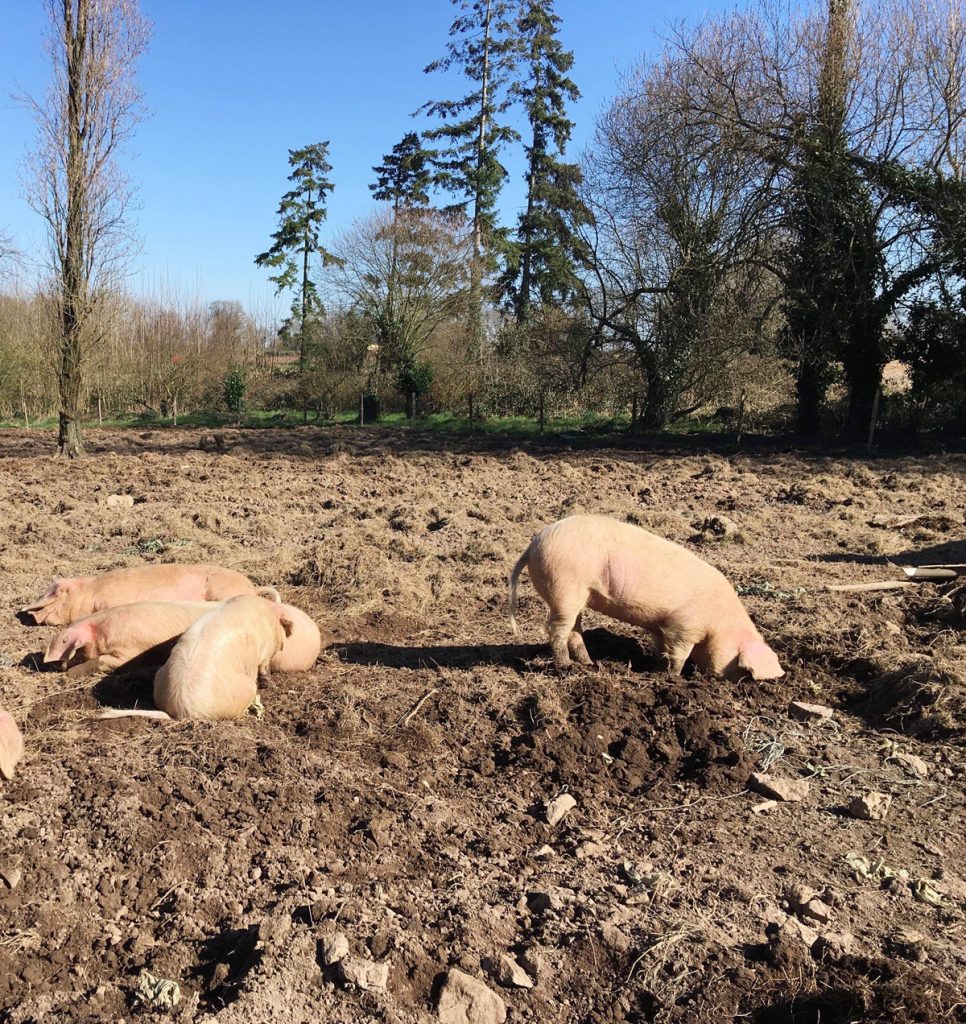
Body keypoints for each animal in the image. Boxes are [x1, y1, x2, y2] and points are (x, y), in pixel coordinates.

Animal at [98, 594, 291, 721]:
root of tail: (182, 711)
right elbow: (262, 667)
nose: (282, 645)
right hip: (246, 688)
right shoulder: (260, 654)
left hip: (160, 675)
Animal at [508, 515, 784, 681]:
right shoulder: (684, 627)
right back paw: (566, 667)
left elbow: (661, 648)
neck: (719, 623)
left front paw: (655, 668)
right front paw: (674, 678)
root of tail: (534, 544)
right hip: (564, 587)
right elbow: (679, 654)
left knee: (574, 630)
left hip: (576, 595)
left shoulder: (662, 626)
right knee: (556, 629)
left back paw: (589, 663)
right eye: (742, 668)